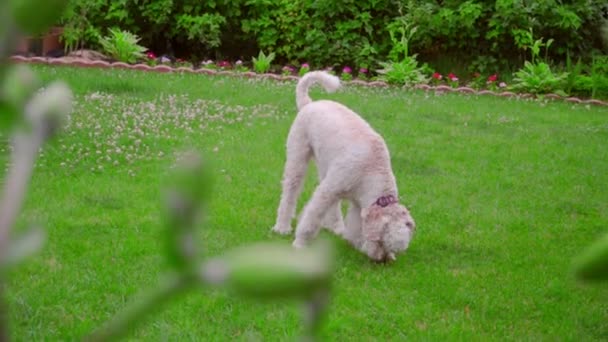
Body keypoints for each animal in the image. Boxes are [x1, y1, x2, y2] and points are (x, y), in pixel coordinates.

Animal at [274, 69, 416, 262]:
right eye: (380, 240)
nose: (380, 260)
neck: (373, 169)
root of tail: (308, 104)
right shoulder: (328, 192)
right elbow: (311, 218)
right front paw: (300, 244)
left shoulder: (358, 203)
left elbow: (355, 224)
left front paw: (353, 241)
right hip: (298, 156)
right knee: (290, 191)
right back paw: (282, 227)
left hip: (326, 166)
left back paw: (336, 228)